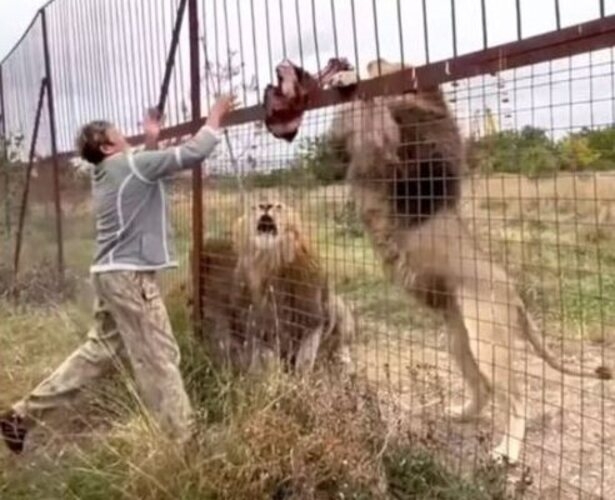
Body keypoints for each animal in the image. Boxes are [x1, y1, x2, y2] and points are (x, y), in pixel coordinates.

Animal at [200, 199, 356, 376]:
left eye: (279, 206)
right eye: (254, 207)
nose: (265, 205)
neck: (269, 260)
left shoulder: (312, 316)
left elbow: (305, 357)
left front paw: (300, 378)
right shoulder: (255, 324)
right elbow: (265, 357)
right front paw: (267, 374)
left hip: (338, 309)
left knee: (340, 345)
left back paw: (343, 364)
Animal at [328, 58, 612, 464]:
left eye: (390, 65)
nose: (368, 61)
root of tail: (514, 294)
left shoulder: (387, 150)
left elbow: (372, 108)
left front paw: (350, 78)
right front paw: (341, 77)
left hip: (487, 340)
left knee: (516, 399)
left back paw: (507, 452)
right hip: (458, 340)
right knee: (483, 389)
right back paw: (460, 414)